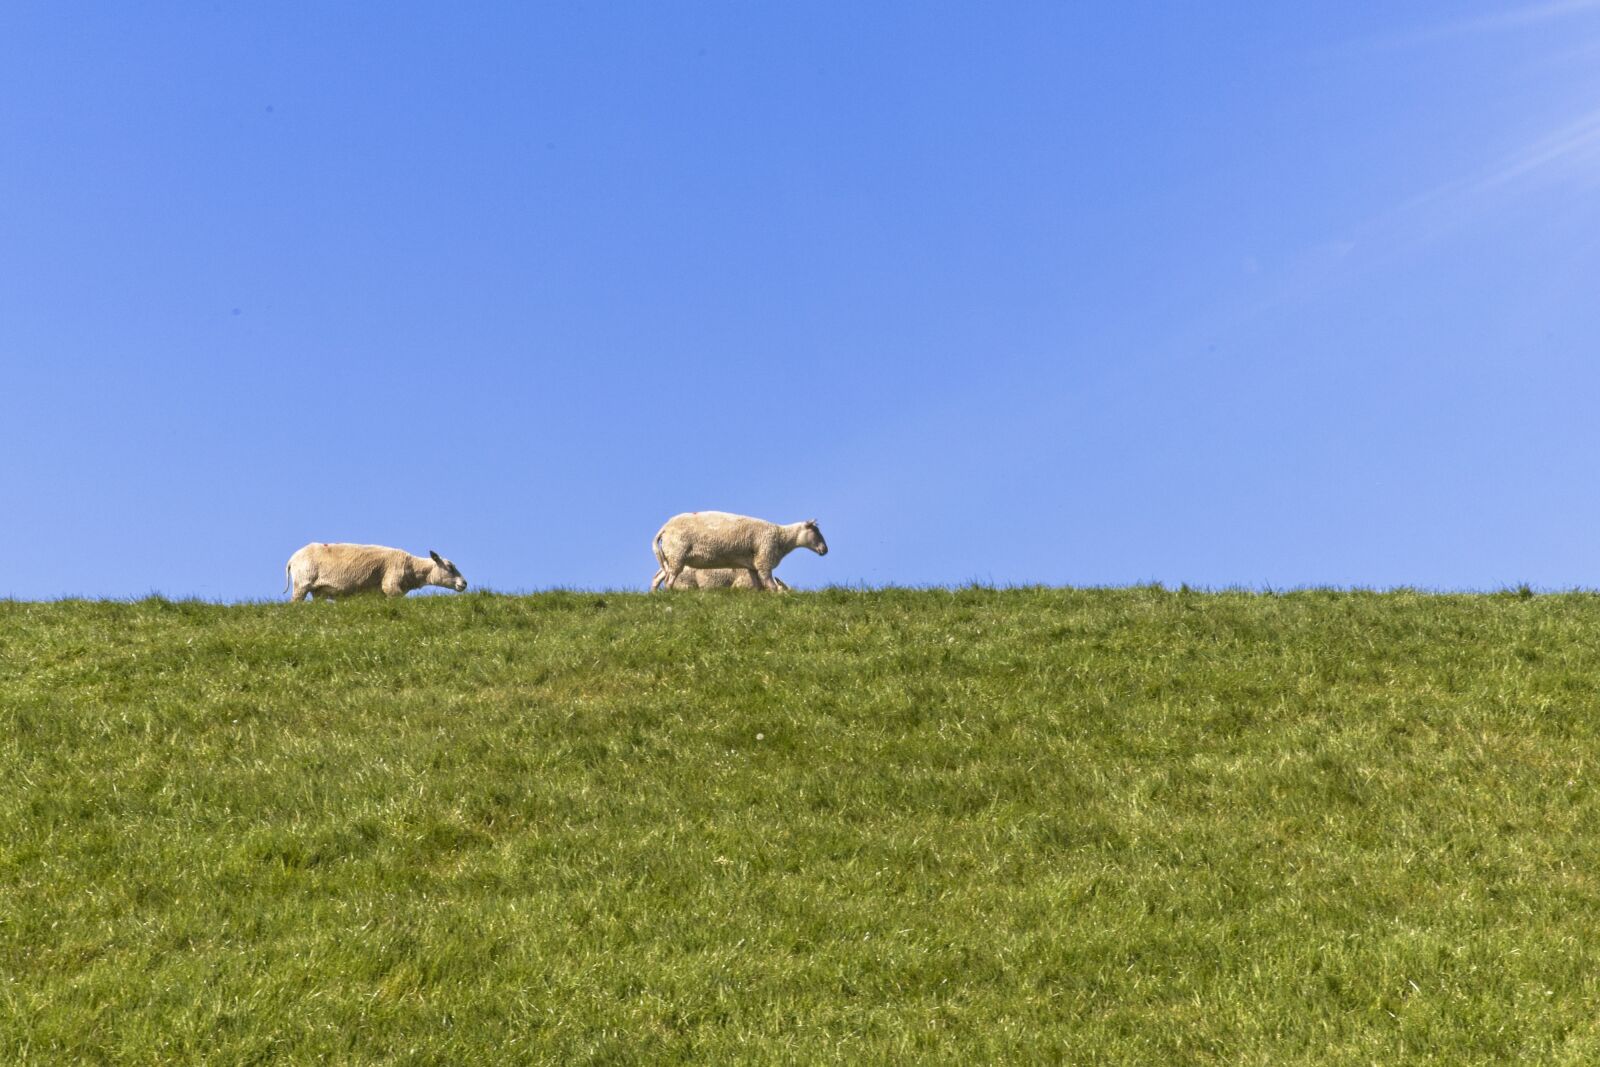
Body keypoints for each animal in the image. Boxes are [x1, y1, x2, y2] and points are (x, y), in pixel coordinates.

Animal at [281, 543, 467, 601]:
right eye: (450, 567)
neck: (413, 567)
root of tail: (291, 559)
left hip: (317, 590)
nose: (464, 583)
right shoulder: (391, 585)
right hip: (302, 583)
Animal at [649, 511, 832, 591]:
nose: (825, 550)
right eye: (815, 531)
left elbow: (758, 586)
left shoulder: (752, 565)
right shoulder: (764, 559)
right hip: (677, 554)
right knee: (669, 579)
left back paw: (655, 594)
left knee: (658, 577)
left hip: (671, 556)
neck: (782, 537)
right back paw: (670, 593)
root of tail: (665, 528)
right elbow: (770, 584)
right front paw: (775, 596)